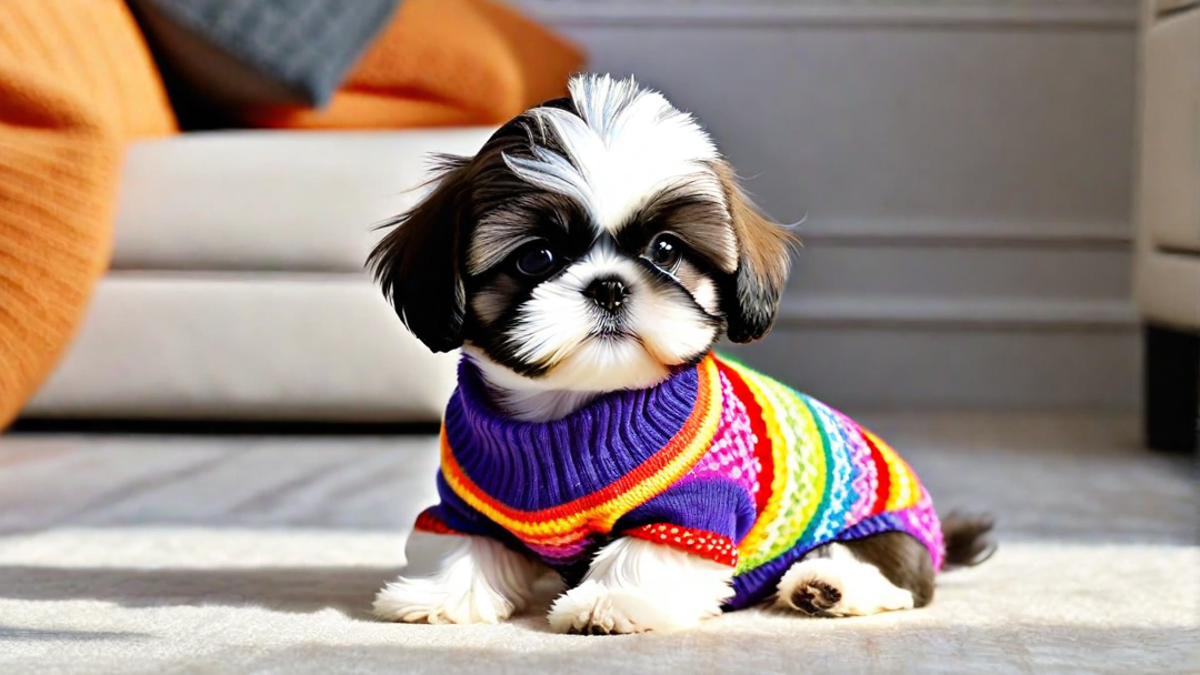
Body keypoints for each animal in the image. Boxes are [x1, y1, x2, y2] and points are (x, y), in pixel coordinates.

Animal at [367, 73, 993, 629]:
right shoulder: (466, 501)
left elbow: (645, 552)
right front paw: (442, 595)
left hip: (879, 532)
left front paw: (609, 602)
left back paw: (825, 586)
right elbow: (462, 545)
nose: (609, 285)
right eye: (536, 257)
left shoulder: (697, 505)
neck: (571, 417)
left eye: (666, 250)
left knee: (893, 575)